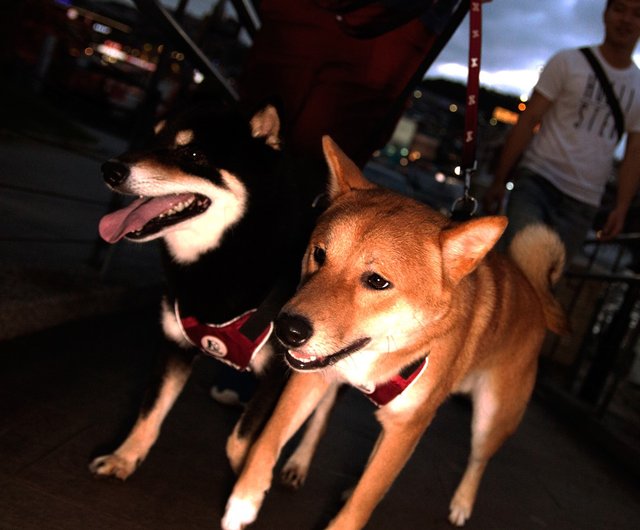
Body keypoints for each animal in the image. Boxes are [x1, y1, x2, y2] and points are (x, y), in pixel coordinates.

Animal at [222, 137, 568, 528]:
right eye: (319, 254)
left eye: (377, 281)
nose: (287, 330)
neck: (381, 355)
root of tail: (535, 294)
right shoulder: (312, 379)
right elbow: (265, 441)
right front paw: (244, 499)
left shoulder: (406, 429)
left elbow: (364, 502)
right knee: (323, 422)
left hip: (491, 419)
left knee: (478, 461)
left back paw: (462, 504)